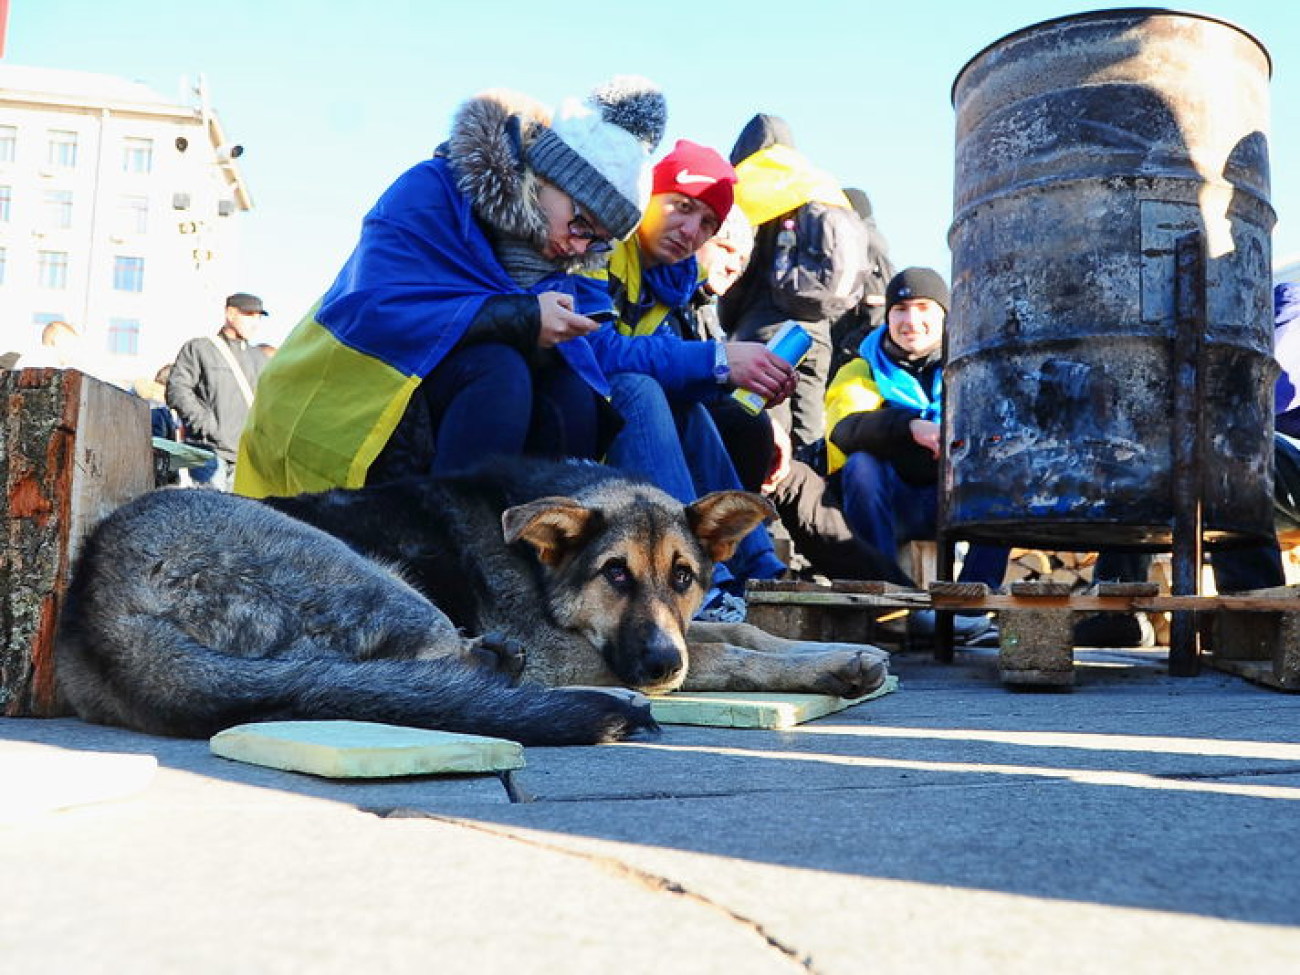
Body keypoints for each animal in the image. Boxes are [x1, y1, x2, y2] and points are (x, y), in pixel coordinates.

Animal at [55, 462, 889, 743]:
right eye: (615, 574)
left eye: (684, 576)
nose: (656, 667)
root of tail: (99, 611)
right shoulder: (573, 650)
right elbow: (721, 653)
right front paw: (828, 662)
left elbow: (740, 630)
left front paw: (844, 656)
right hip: (372, 577)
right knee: (440, 668)